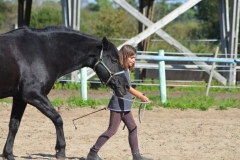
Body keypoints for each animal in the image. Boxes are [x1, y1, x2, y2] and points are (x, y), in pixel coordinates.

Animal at [0, 25, 129, 159]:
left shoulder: (20, 98)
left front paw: (8, 153)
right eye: (114, 60)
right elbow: (58, 118)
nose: (126, 86)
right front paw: (60, 150)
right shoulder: (32, 94)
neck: (42, 51)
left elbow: (14, 125)